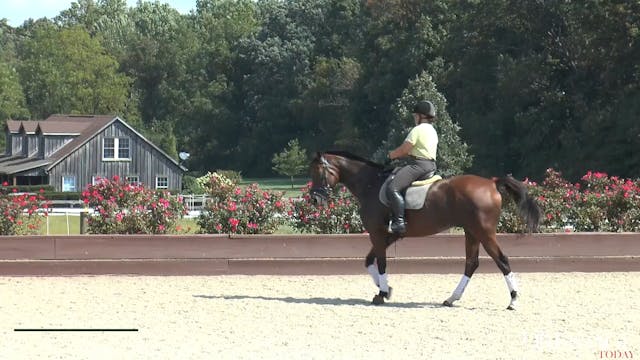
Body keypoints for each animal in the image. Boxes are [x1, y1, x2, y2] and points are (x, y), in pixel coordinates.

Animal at [310, 150, 540, 310]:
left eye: (319, 172)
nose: (314, 200)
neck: (371, 185)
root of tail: (492, 183)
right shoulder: (387, 236)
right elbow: (368, 261)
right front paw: (386, 289)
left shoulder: (377, 233)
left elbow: (381, 263)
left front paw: (382, 293)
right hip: (472, 232)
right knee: (471, 263)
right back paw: (451, 298)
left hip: (484, 232)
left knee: (502, 260)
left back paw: (513, 301)